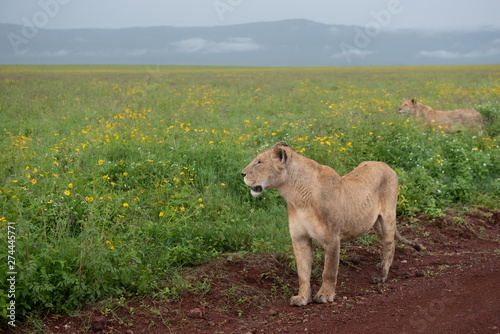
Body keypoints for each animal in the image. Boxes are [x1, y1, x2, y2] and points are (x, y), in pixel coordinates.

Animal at [240, 142, 424, 306]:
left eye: (259, 162)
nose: (242, 173)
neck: (296, 197)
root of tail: (386, 165)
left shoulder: (332, 237)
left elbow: (328, 270)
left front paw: (325, 295)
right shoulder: (299, 238)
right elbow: (302, 272)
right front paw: (302, 297)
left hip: (387, 217)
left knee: (387, 244)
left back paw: (382, 275)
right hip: (374, 222)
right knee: (391, 244)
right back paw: (384, 264)